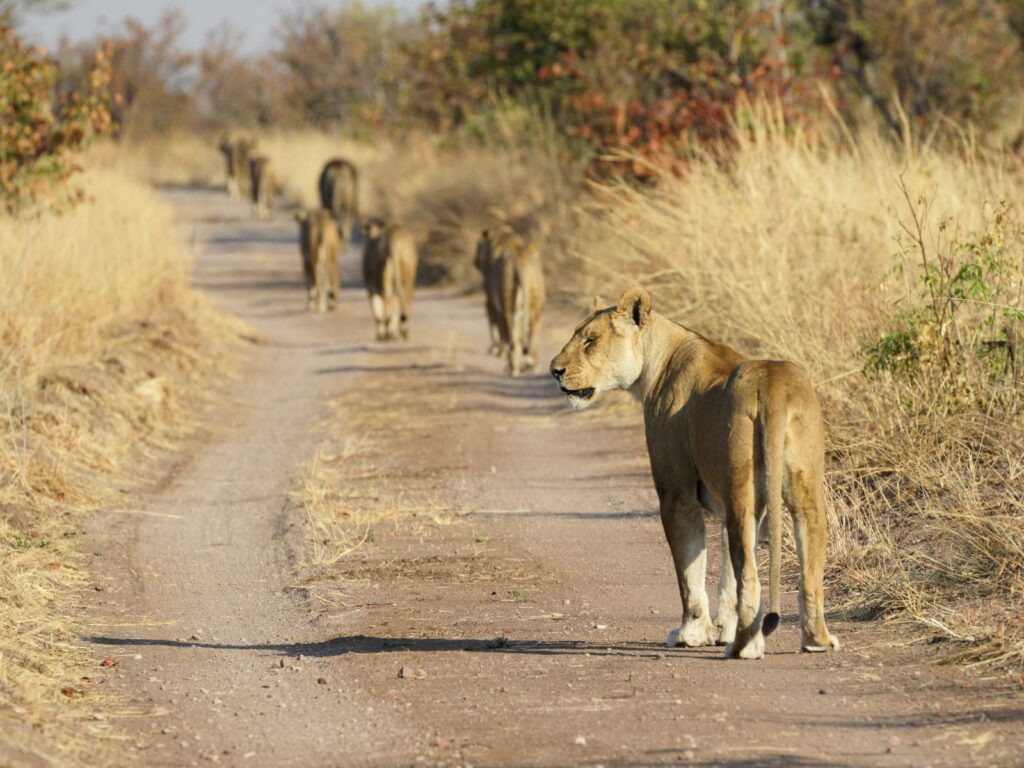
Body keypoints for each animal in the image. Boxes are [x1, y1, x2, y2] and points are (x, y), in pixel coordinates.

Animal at [475, 225, 548, 376]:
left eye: (477, 245)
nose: (475, 261)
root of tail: (519, 259)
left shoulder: (490, 302)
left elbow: (496, 329)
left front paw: (496, 350)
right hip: (535, 304)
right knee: (533, 334)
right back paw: (531, 366)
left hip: (507, 305)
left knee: (514, 341)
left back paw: (512, 368)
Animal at [552, 288, 839, 663]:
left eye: (590, 340)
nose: (554, 371)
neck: (657, 359)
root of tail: (772, 384)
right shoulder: (733, 505)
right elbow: (726, 579)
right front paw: (721, 630)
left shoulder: (676, 496)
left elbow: (690, 572)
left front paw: (691, 633)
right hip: (803, 491)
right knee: (808, 570)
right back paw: (816, 640)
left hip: (741, 491)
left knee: (750, 575)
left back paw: (744, 647)